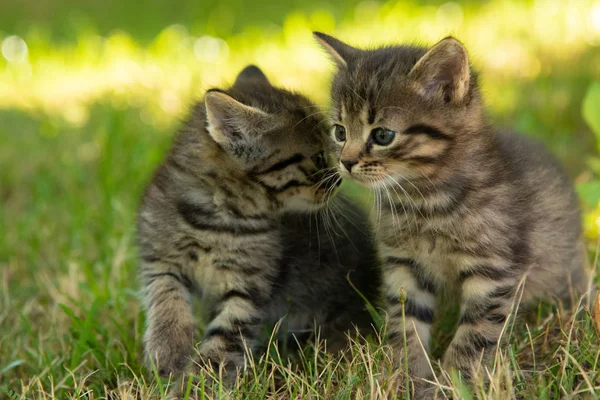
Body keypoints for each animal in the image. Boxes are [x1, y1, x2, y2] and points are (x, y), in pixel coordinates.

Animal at [138, 65, 378, 388]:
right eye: (318, 158)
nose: (338, 180)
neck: (218, 219)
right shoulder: (160, 256)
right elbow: (164, 294)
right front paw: (169, 349)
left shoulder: (248, 285)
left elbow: (225, 338)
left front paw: (199, 383)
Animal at [314, 32, 592, 392]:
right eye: (339, 131)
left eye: (383, 135)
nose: (345, 162)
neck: (425, 203)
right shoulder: (404, 265)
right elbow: (405, 324)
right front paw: (407, 377)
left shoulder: (493, 270)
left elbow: (473, 335)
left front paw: (454, 383)